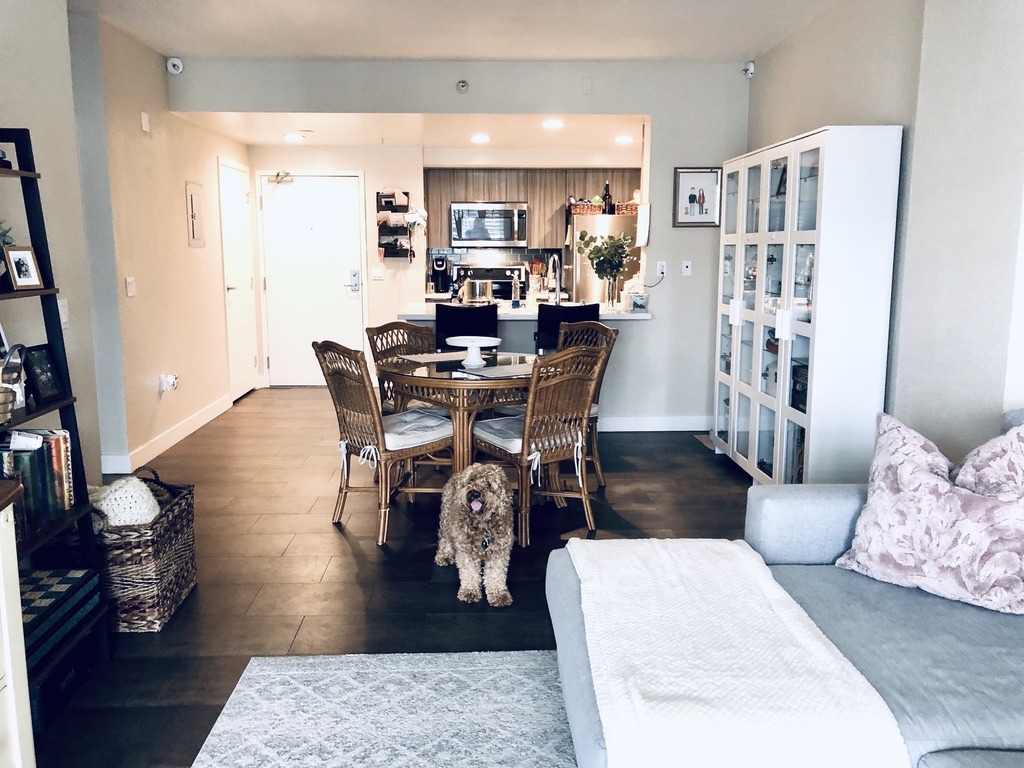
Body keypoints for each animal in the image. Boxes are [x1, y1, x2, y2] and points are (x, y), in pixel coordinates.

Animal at [435, 463, 514, 607]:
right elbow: (469, 572)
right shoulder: (466, 550)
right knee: (444, 538)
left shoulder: (499, 552)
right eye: (471, 480)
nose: (475, 493)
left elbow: (496, 574)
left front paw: (498, 595)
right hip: (446, 519)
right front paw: (469, 592)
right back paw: (444, 555)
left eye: (488, 484)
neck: (482, 524)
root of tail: (457, 473)